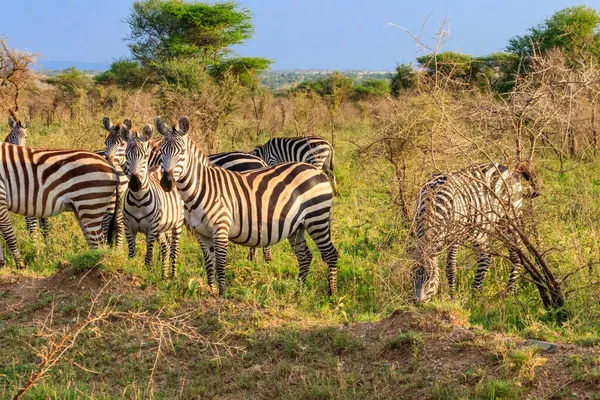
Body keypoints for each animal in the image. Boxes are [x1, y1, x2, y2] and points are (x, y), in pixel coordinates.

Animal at [118, 124, 182, 278]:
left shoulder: (151, 230)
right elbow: (131, 255)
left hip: (177, 224)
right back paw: (164, 276)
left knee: (174, 250)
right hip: (162, 228)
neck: (138, 200)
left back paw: (173, 276)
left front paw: (147, 274)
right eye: (126, 156)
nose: (135, 184)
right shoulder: (129, 228)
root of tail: (159, 167)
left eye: (145, 156)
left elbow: (148, 257)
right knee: (165, 247)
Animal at [157, 116, 340, 296]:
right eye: (161, 152)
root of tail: (314, 171)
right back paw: (298, 291)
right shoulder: (202, 233)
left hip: (317, 218)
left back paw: (331, 293)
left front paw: (222, 296)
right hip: (297, 226)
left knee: (330, 253)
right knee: (305, 257)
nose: (166, 182)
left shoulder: (221, 229)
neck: (202, 187)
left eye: (182, 152)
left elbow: (220, 265)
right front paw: (212, 293)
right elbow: (209, 265)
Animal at [412, 162, 540, 304]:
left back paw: (510, 293)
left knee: (516, 255)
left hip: (509, 221)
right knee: (486, 256)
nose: (418, 302)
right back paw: (476, 294)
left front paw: (453, 299)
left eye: (431, 279)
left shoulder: (455, 236)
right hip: (480, 229)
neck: (431, 201)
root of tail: (509, 168)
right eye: (412, 277)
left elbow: (451, 268)